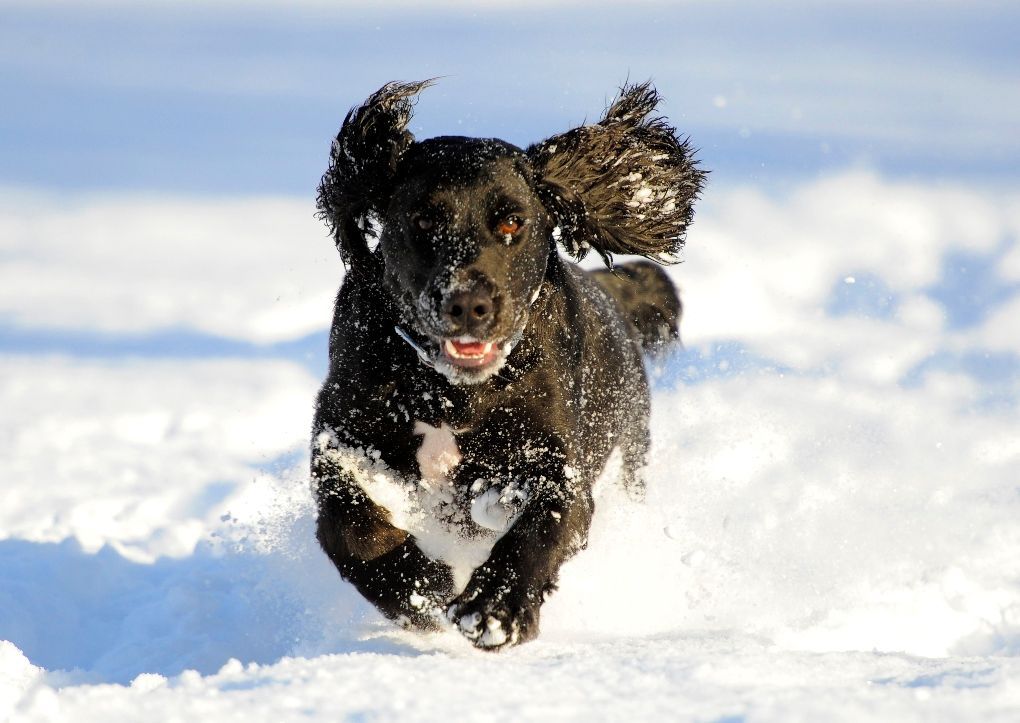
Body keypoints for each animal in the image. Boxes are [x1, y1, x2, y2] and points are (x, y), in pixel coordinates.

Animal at [310, 80, 705, 648]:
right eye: (423, 219)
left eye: (512, 221)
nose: (468, 304)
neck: (450, 390)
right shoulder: (342, 432)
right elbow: (350, 528)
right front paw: (417, 586)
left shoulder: (555, 464)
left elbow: (543, 523)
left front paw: (494, 608)